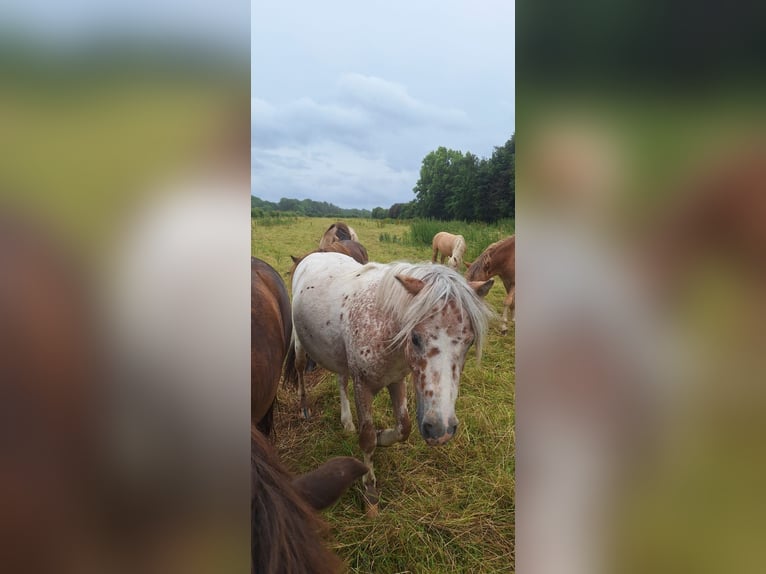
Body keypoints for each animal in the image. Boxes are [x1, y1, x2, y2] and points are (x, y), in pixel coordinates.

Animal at [284, 254, 496, 516]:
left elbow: (403, 428)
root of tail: (311, 256)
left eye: (469, 342)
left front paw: (381, 436)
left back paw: (347, 422)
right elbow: (367, 439)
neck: (381, 325)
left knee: (341, 380)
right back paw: (304, 408)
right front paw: (370, 492)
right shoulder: (362, 385)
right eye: (415, 338)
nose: (441, 429)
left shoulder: (397, 380)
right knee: (301, 369)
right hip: (301, 347)